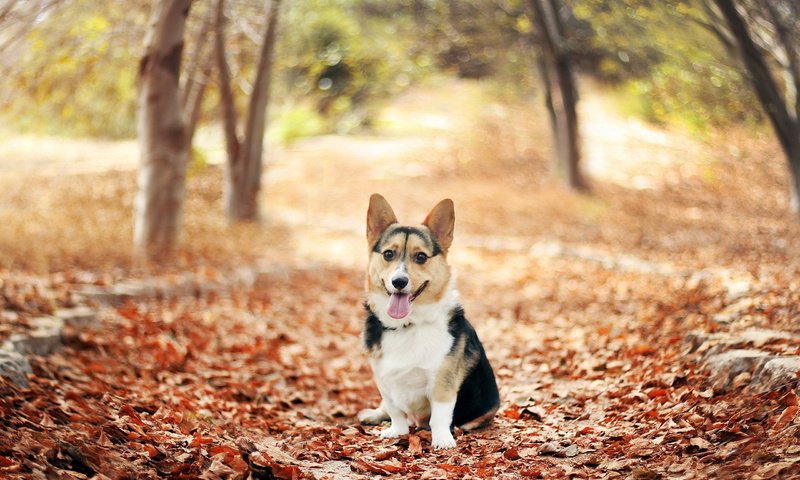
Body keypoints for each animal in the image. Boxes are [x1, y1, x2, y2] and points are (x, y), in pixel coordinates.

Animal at [358, 193, 496, 448]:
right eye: (388, 254)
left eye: (421, 256)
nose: (399, 281)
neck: (407, 325)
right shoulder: (384, 380)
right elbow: (395, 410)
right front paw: (397, 431)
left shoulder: (442, 383)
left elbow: (439, 416)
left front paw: (442, 439)